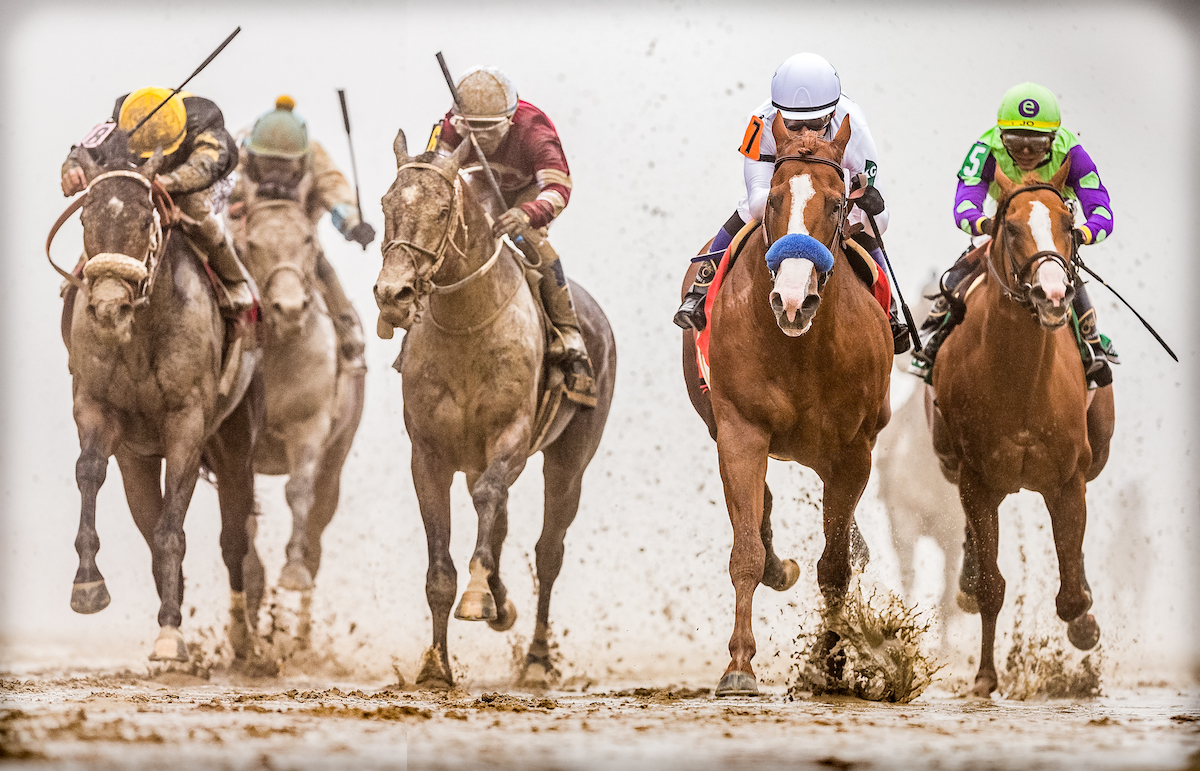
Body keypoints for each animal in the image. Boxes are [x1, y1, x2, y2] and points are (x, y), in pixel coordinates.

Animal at [235, 192, 362, 629]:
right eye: (250, 245)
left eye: (309, 241)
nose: (289, 308)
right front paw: (251, 582)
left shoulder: (309, 427)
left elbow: (299, 490)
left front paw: (292, 571)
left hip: (337, 459)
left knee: (318, 532)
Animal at [374, 130, 619, 682]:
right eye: (385, 204)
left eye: (443, 209)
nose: (392, 294)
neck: (467, 327)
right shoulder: (429, 455)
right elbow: (439, 568)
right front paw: (436, 665)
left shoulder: (511, 436)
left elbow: (491, 499)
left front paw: (477, 596)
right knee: (502, 521)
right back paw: (502, 604)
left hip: (571, 456)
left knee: (549, 550)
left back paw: (537, 658)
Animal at [681, 115, 897, 696]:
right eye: (775, 199)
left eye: (839, 204)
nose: (793, 300)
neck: (800, 348)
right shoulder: (741, 432)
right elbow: (746, 554)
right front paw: (738, 665)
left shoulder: (853, 451)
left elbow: (836, 567)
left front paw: (831, 663)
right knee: (761, 509)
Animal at [926, 162, 1113, 696]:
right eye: (1010, 228)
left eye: (1069, 225)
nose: (1052, 294)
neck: (1022, 382)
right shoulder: (977, 479)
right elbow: (991, 586)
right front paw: (985, 676)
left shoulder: (1068, 479)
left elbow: (1071, 594)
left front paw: (1084, 623)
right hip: (951, 461)